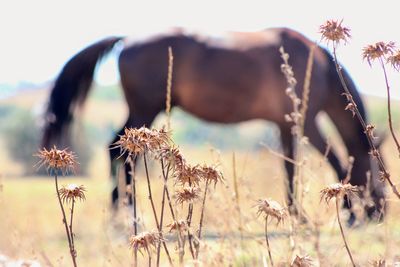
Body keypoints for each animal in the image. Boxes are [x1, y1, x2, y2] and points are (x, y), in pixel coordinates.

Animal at [42, 27, 386, 224]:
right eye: (376, 171)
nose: (380, 212)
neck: (318, 66)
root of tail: (127, 40)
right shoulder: (306, 123)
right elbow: (335, 163)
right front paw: (337, 210)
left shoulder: (286, 127)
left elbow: (290, 168)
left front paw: (296, 213)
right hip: (145, 110)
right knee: (125, 154)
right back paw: (129, 216)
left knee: (117, 150)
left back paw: (121, 215)